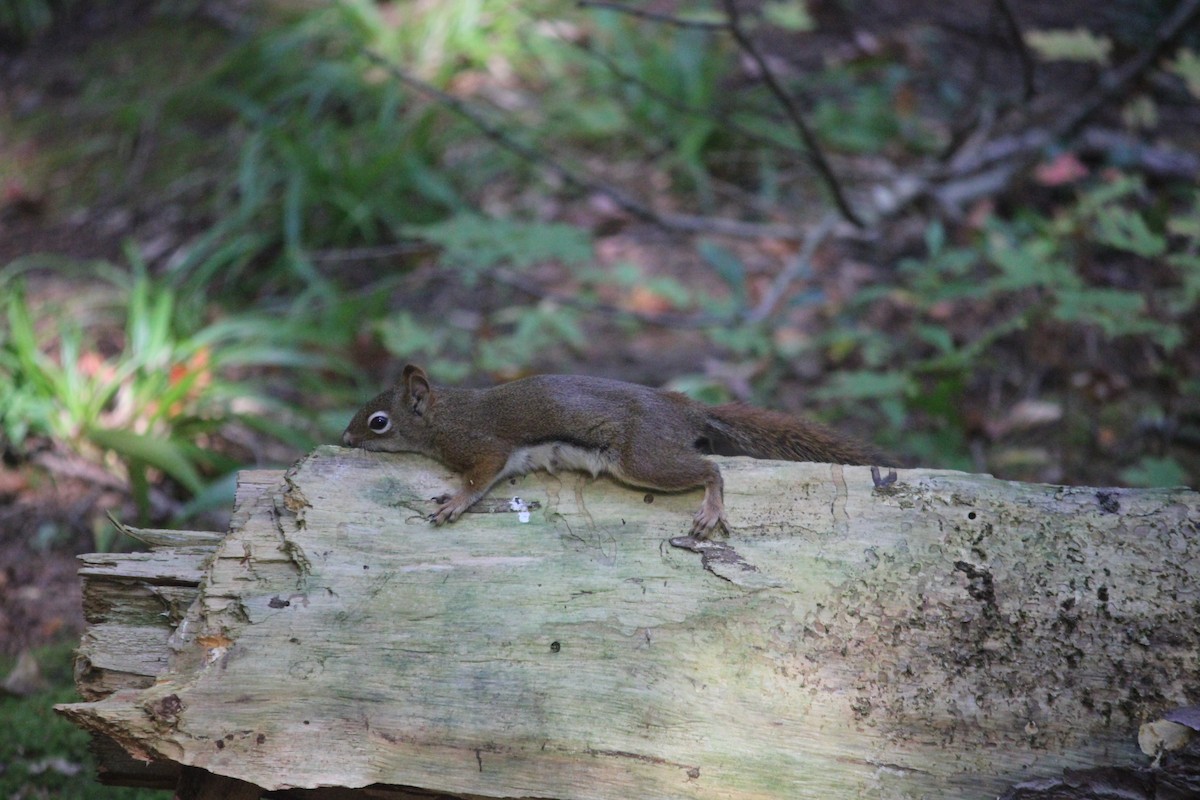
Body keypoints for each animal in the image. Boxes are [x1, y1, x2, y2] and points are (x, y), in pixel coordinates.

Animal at [342, 364, 881, 537]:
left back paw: (710, 506)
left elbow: (479, 479)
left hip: (641, 458)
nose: (346, 439)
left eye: (378, 422)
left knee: (710, 469)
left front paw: (453, 502)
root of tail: (683, 409)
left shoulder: (482, 446)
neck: (445, 415)